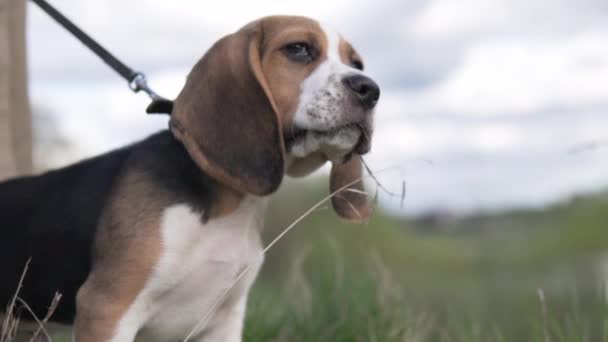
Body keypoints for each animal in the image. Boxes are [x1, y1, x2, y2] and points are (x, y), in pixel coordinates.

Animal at [0, 15, 380, 342]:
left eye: (357, 63)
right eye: (299, 49)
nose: (369, 89)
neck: (229, 207)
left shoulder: (223, 323)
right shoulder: (107, 308)